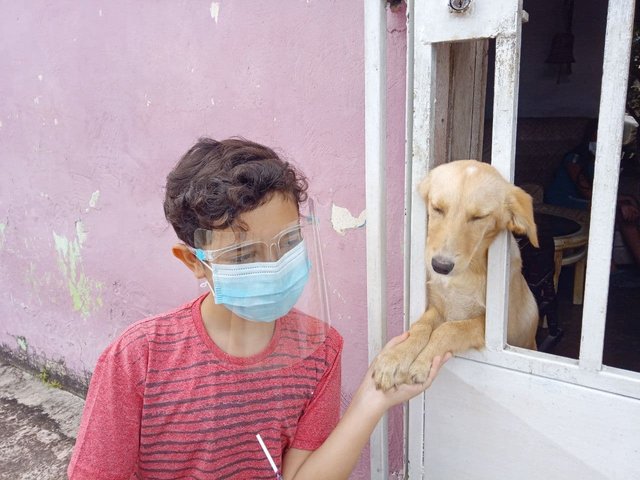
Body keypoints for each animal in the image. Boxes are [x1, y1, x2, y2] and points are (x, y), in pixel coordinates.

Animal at [372, 159, 536, 392]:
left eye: (478, 217)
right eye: (437, 208)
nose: (440, 266)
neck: (466, 274)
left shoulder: (500, 331)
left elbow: (450, 329)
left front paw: (423, 360)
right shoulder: (438, 307)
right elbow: (420, 326)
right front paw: (395, 357)